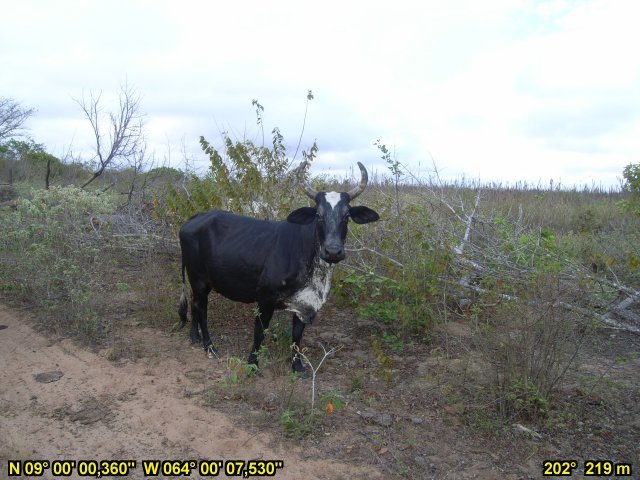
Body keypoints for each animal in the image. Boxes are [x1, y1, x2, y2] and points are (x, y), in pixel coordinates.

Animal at [178, 163, 380, 374]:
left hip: (200, 281)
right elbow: (259, 333)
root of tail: (196, 217)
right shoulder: (265, 298)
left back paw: (195, 337)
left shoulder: (304, 302)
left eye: (347, 216)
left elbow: (297, 336)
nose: (333, 251)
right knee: (202, 309)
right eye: (318, 215)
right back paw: (209, 347)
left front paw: (297, 367)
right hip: (198, 279)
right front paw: (252, 364)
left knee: (194, 304)